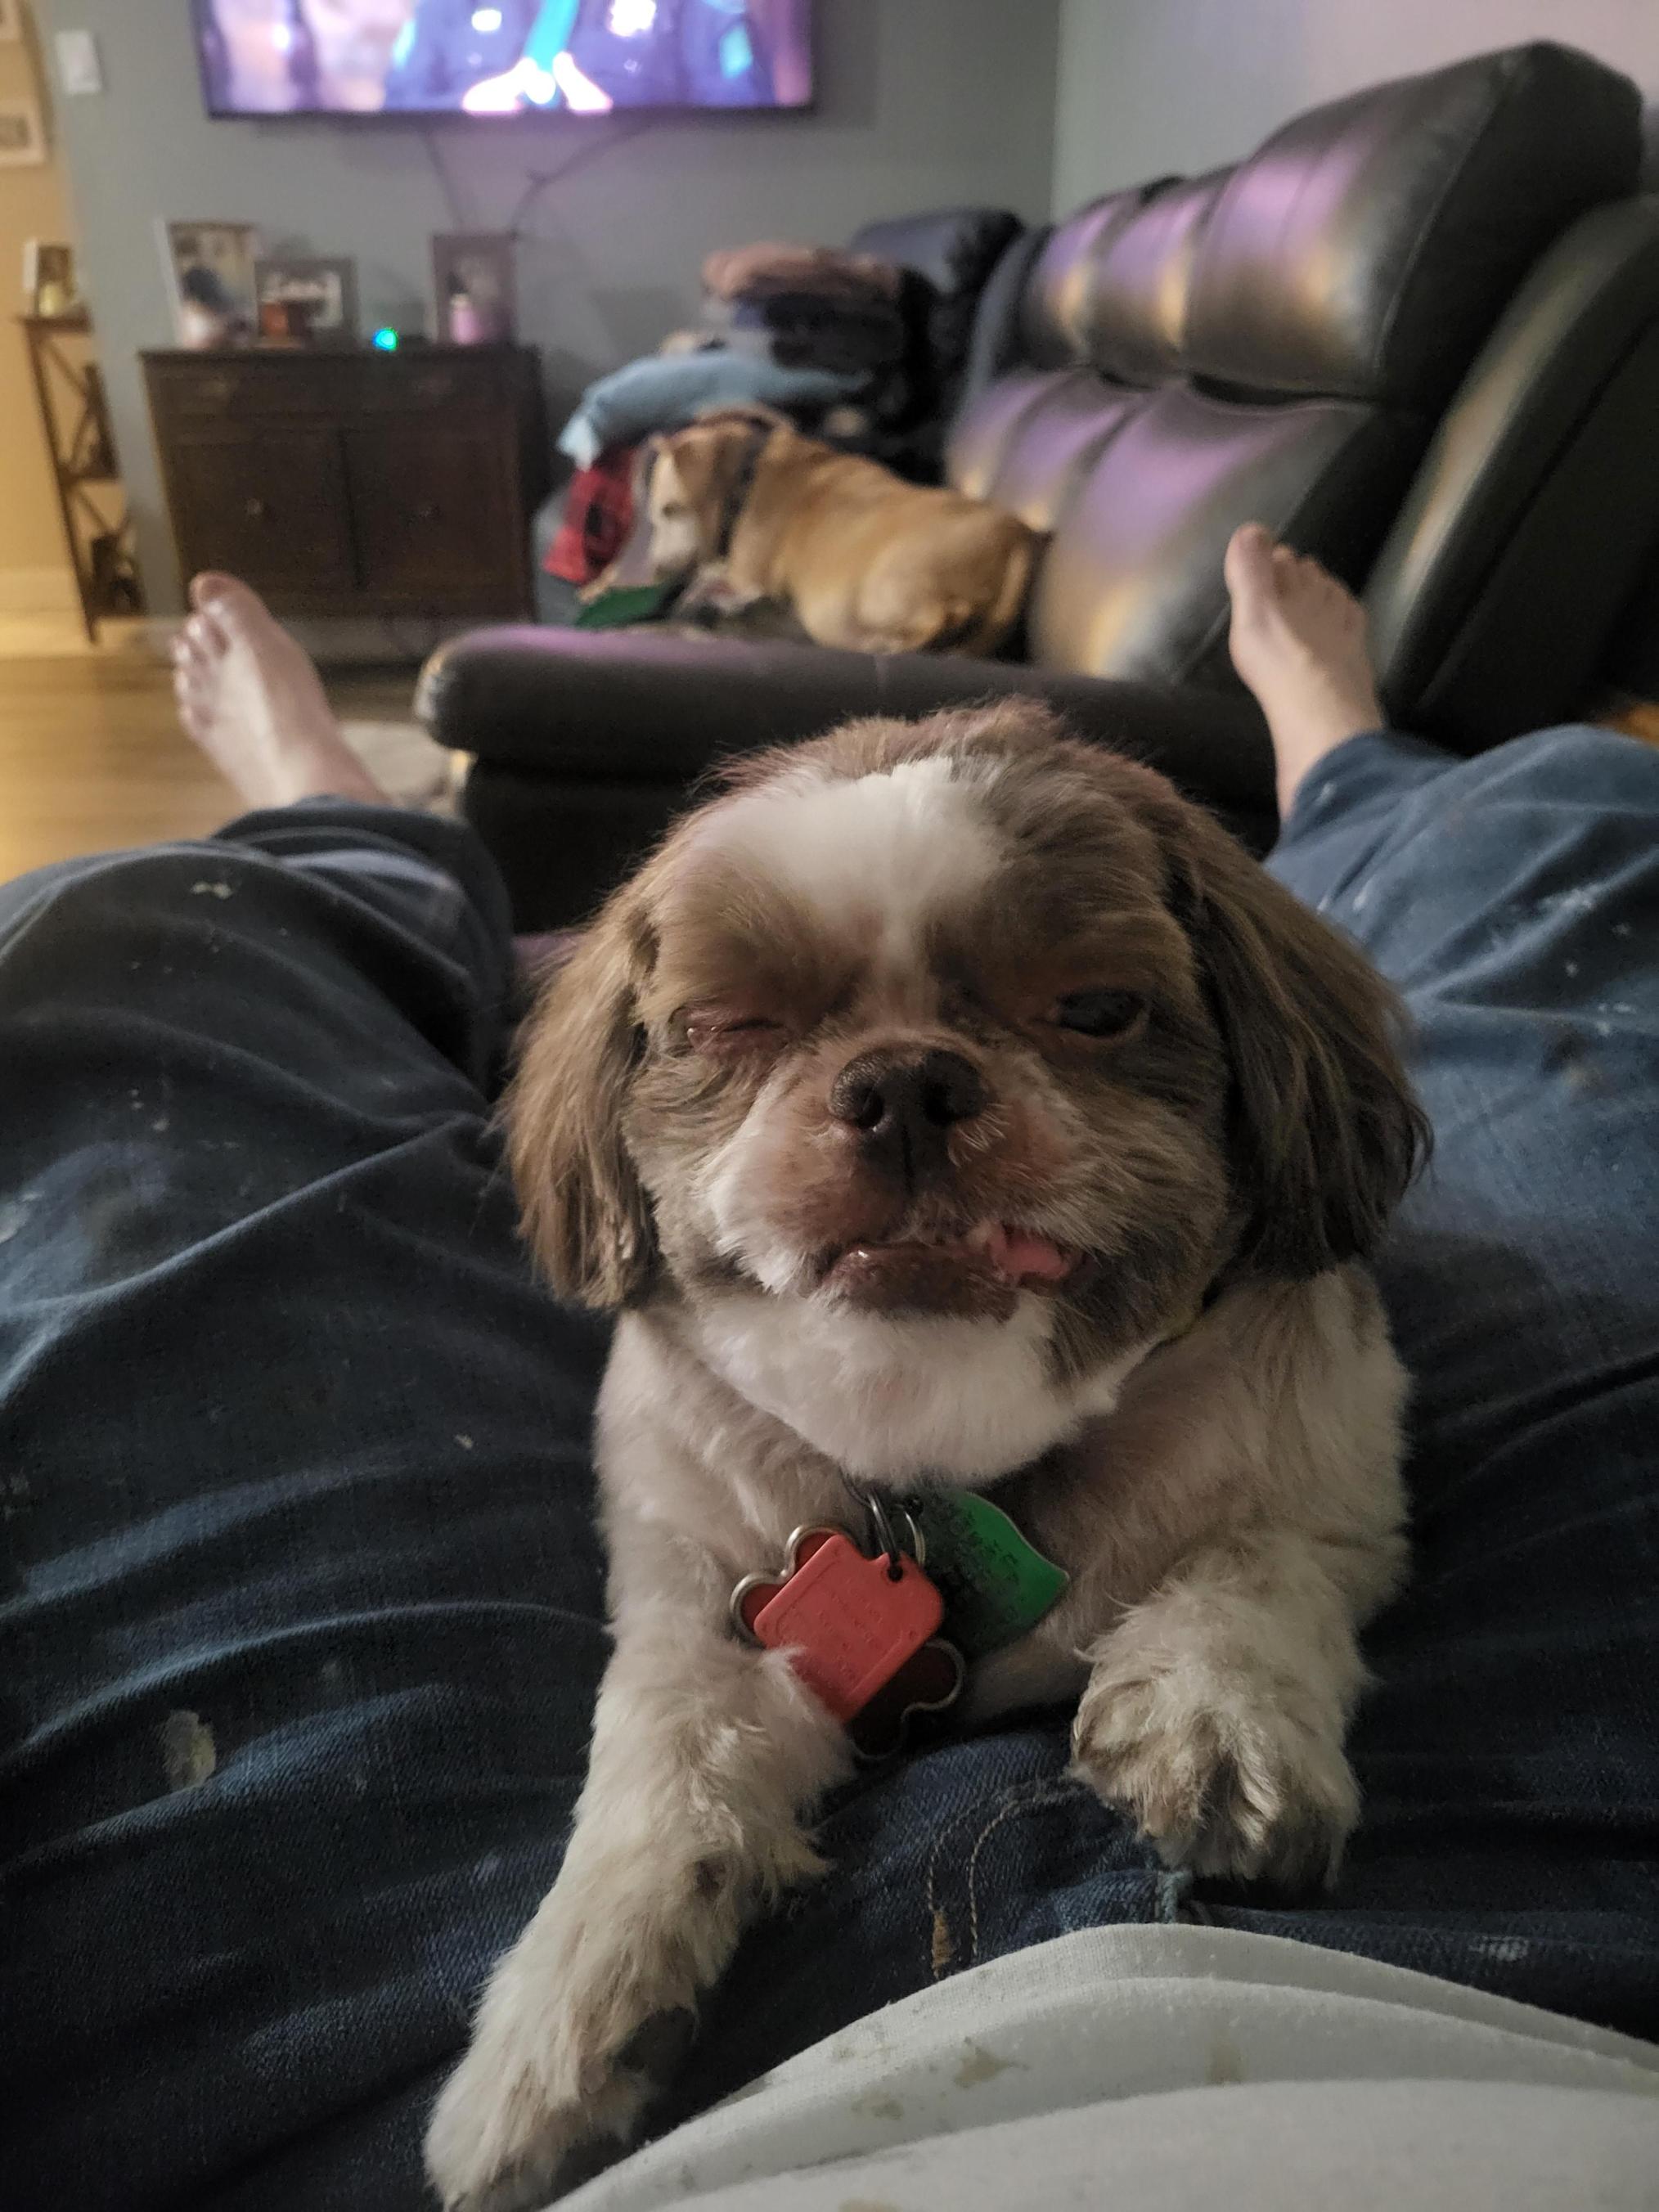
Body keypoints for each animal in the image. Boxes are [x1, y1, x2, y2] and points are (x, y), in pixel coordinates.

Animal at [631, 409, 1039, 656]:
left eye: (670, 509)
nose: (657, 571)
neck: (749, 473)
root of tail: (1017, 539)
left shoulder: (745, 573)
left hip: (884, 585)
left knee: (943, 615)